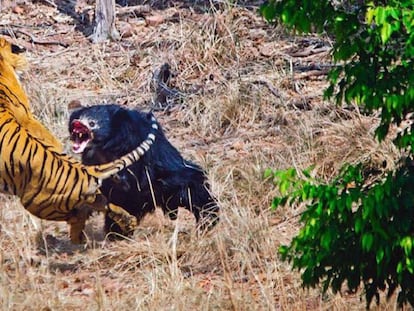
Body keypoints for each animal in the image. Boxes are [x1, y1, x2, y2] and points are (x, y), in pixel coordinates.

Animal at [0, 37, 158, 244]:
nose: (24, 58)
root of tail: (83, 170)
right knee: (103, 203)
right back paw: (126, 222)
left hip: (36, 203)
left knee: (80, 214)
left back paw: (76, 238)